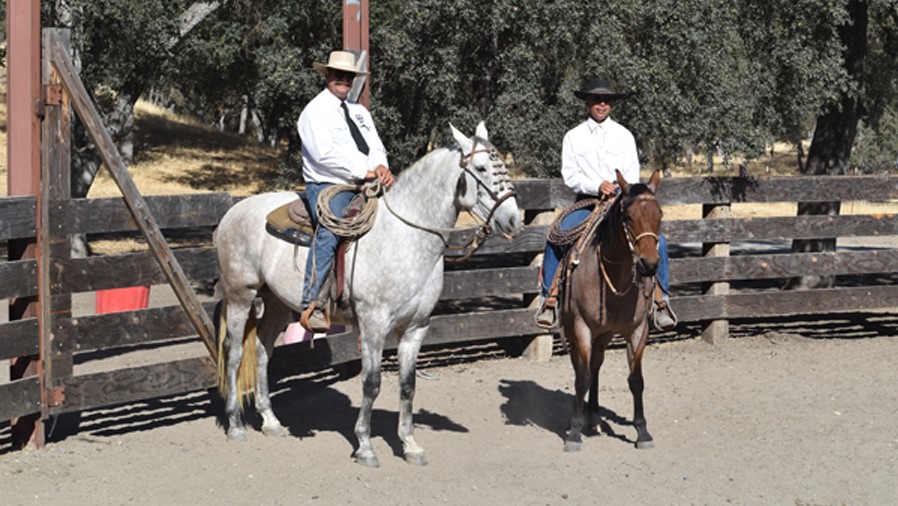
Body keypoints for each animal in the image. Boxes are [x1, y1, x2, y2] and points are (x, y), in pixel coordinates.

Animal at [213, 122, 522, 467]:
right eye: (481, 168)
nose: (514, 219)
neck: (405, 237)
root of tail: (233, 212)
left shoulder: (416, 328)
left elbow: (407, 385)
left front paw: (410, 445)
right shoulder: (373, 324)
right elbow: (371, 383)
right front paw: (365, 446)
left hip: (277, 303)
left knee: (263, 349)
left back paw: (271, 421)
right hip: (240, 294)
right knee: (234, 351)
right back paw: (235, 424)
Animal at [559, 169, 662, 452]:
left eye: (659, 215)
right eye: (628, 217)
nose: (649, 264)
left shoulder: (639, 330)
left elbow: (636, 380)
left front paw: (643, 432)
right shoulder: (581, 327)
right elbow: (581, 378)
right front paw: (573, 433)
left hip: (604, 334)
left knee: (595, 365)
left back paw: (594, 417)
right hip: (574, 329)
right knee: (581, 368)